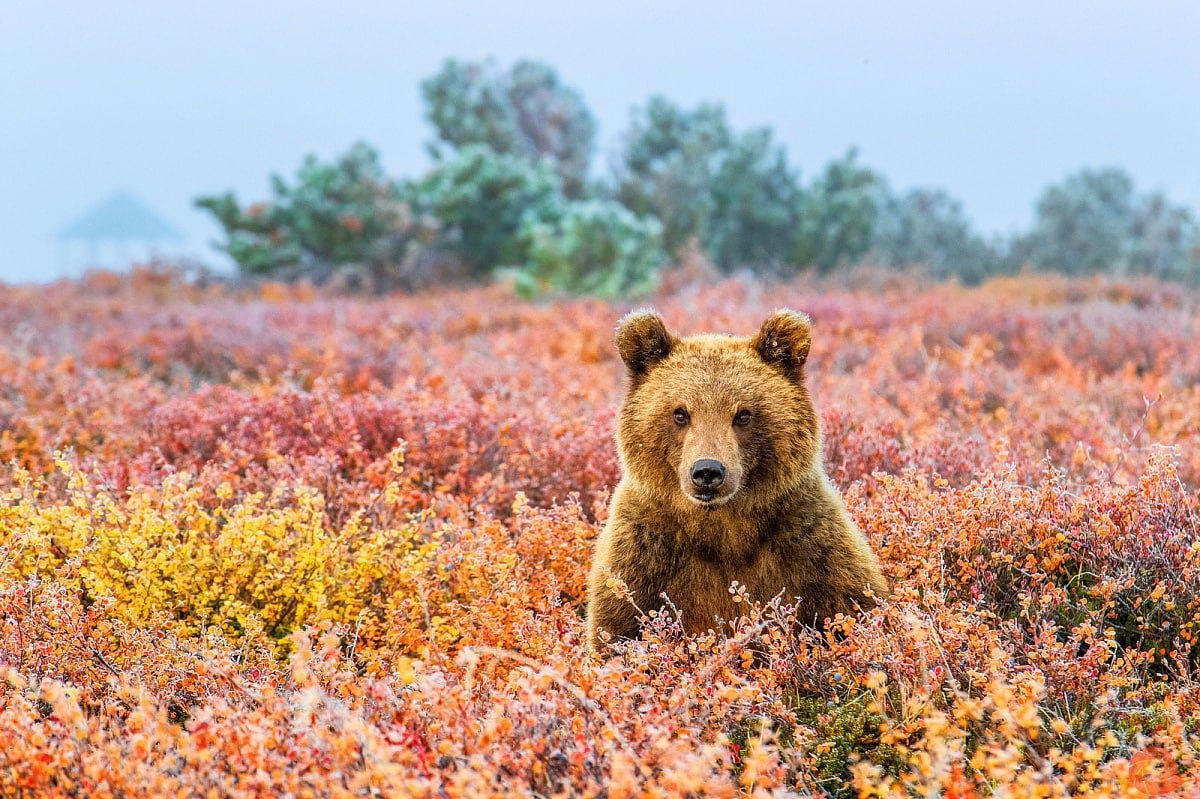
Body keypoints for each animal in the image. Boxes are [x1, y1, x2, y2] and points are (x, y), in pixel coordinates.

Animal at [585, 307, 888, 652]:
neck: (725, 530)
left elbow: (851, 606)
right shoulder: (645, 556)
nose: (707, 471)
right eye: (680, 413)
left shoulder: (811, 547)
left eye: (743, 414)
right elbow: (618, 630)